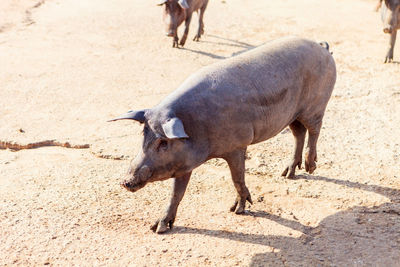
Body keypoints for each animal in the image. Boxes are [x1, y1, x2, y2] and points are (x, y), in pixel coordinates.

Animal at [110, 36, 338, 233]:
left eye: (164, 143)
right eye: (143, 135)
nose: (125, 181)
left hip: (316, 105)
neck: (196, 126)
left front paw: (237, 210)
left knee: (314, 130)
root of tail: (322, 48)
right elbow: (177, 194)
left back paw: (309, 167)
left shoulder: (237, 145)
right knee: (299, 133)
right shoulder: (183, 163)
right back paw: (287, 174)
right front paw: (158, 228)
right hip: (293, 115)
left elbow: (237, 178)